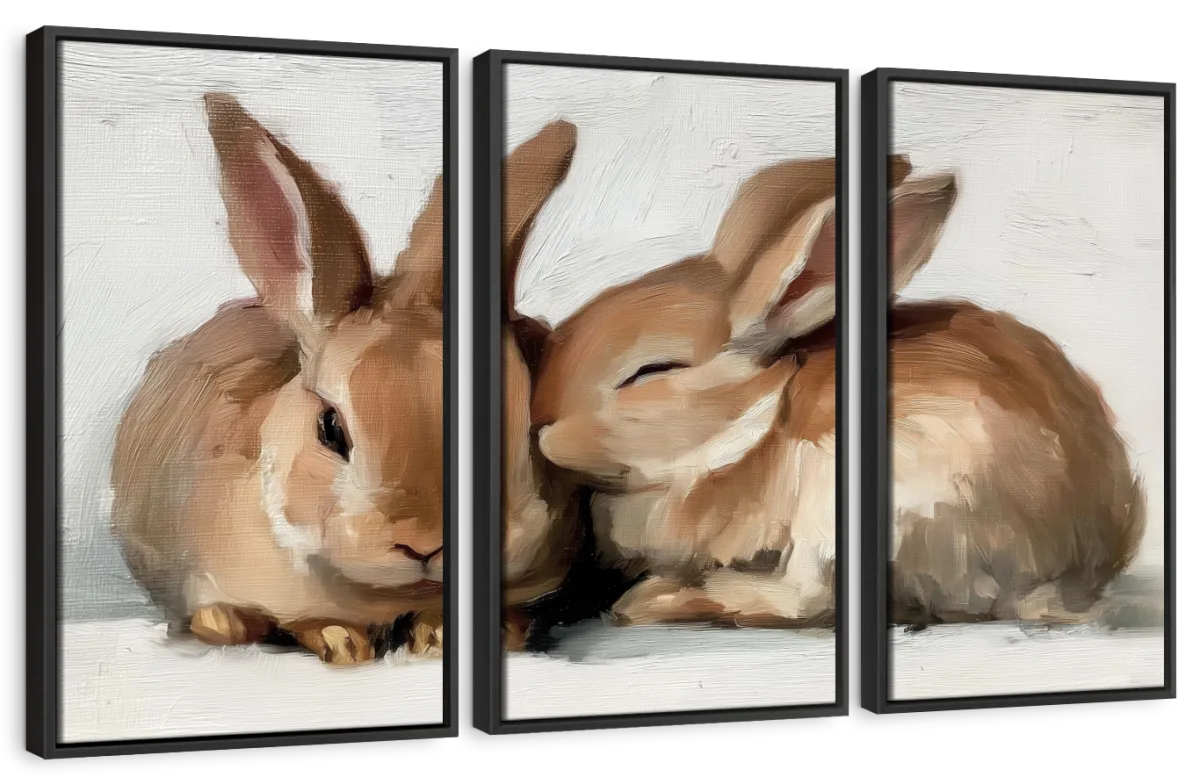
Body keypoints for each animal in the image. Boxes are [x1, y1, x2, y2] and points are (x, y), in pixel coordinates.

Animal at [527, 151, 1146, 630]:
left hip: (860, 497)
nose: (543, 431)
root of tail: (1071, 572)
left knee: (806, 600)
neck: (755, 420)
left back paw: (653, 600)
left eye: (650, 372)